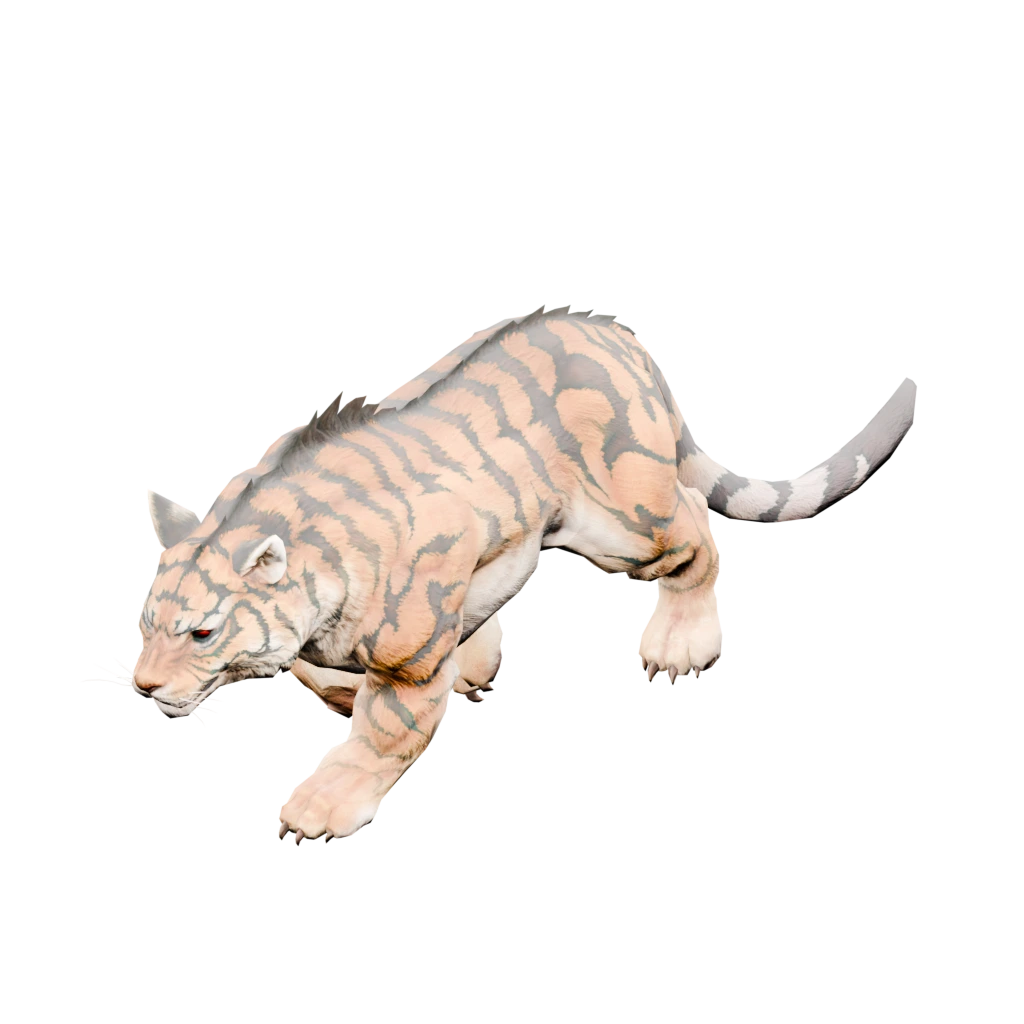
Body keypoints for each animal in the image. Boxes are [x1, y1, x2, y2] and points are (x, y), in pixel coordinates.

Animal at [134, 306, 920, 843]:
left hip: (623, 524)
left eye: (202, 632)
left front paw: (318, 807)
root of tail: (614, 333)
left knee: (696, 524)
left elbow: (383, 732)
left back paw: (680, 642)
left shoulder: (412, 647)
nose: (142, 685)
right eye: (146, 623)